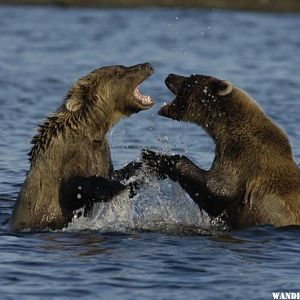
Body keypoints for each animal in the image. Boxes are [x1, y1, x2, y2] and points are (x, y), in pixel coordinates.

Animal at [10, 62, 154, 232]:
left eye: (122, 66)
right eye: (118, 72)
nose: (147, 65)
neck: (92, 130)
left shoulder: (101, 152)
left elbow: (115, 173)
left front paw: (147, 163)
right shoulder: (65, 158)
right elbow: (73, 189)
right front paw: (116, 187)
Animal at [142, 74, 300, 229]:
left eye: (190, 79)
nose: (170, 76)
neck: (228, 129)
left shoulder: (241, 156)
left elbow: (218, 190)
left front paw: (155, 157)